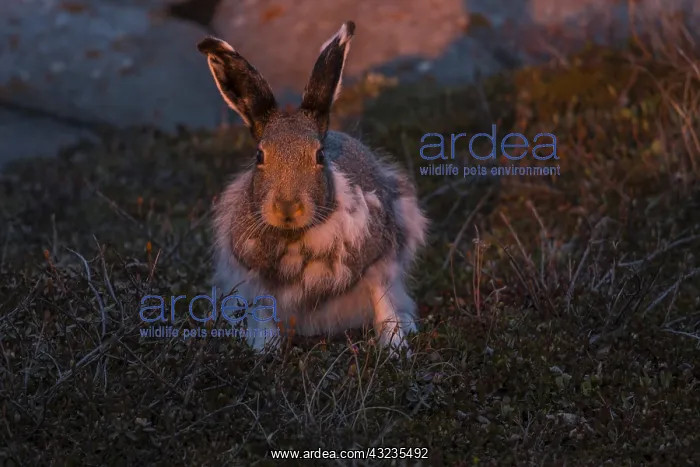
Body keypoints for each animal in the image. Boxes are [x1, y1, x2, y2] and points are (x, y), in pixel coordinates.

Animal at [197, 21, 429, 357]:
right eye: (259, 156)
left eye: (319, 156)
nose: (287, 207)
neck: (296, 237)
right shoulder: (250, 276)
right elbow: (262, 312)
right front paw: (263, 348)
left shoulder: (380, 261)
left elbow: (383, 301)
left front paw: (396, 346)